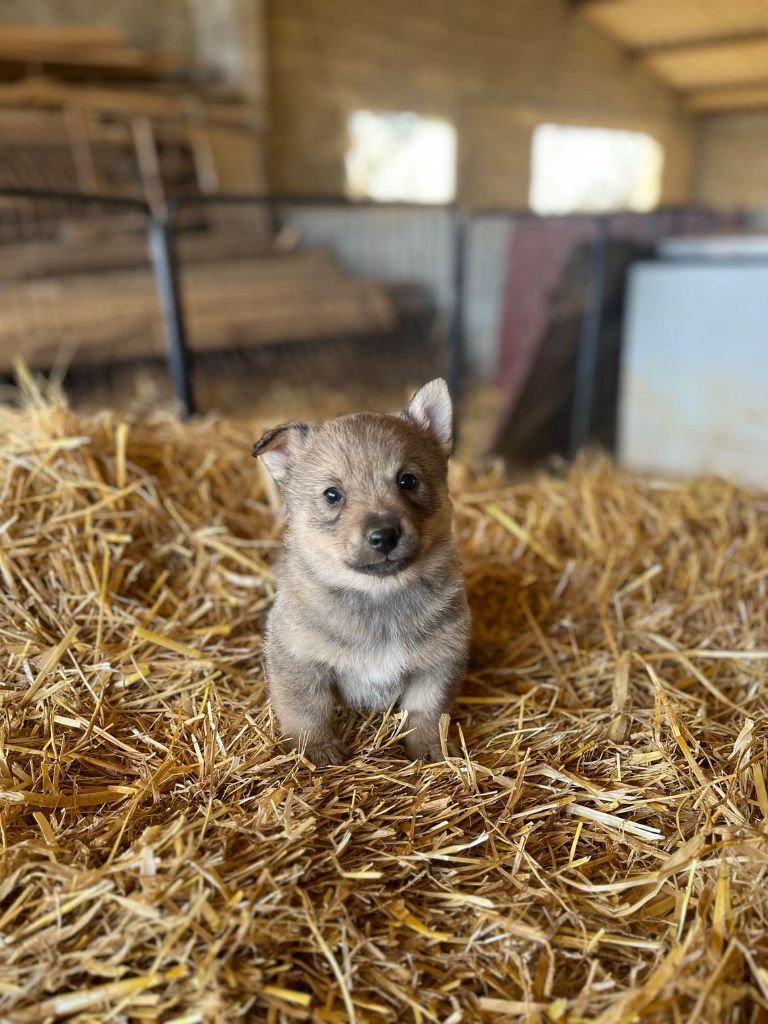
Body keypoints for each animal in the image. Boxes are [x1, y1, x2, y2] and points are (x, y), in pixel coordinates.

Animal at [253, 380, 468, 765]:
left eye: (408, 480)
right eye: (332, 494)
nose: (384, 535)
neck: (380, 596)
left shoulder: (438, 663)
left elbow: (426, 712)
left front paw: (430, 750)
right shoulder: (299, 661)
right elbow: (307, 712)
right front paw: (318, 750)